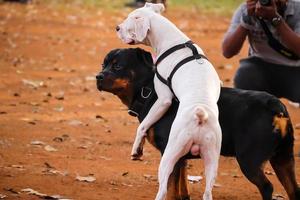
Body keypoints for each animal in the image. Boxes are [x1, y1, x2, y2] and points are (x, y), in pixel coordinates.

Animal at [96, 48, 300, 200]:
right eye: (103, 64)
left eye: (118, 66)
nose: (98, 76)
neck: (149, 91)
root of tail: (276, 107)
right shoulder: (180, 155)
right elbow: (181, 185)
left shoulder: (169, 152)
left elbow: (171, 188)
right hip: (283, 158)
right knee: (294, 190)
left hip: (249, 159)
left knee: (267, 187)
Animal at [116, 3, 221, 200]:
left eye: (130, 19)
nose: (117, 28)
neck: (173, 42)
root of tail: (200, 117)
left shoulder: (163, 99)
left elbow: (142, 126)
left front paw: (136, 149)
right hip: (212, 159)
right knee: (207, 193)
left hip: (169, 156)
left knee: (163, 189)